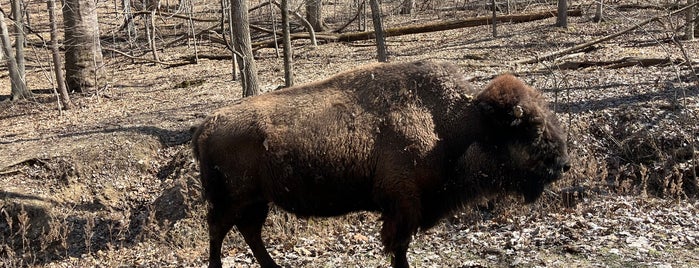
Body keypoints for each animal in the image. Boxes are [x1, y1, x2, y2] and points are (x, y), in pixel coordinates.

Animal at [191, 60, 568, 268]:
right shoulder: (403, 204)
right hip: (230, 200)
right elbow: (398, 248)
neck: (458, 121)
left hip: (256, 201)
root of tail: (205, 126)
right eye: (531, 126)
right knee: (219, 231)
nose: (563, 164)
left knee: (249, 232)